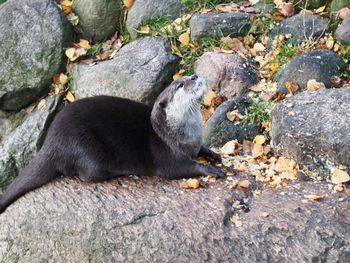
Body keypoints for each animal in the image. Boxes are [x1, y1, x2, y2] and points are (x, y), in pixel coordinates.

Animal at [0, 75, 224, 214]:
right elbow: (182, 168)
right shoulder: (168, 156)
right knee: (87, 175)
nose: (194, 76)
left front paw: (214, 154)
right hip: (85, 149)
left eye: (186, 78)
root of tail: (51, 141)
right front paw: (211, 169)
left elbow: (202, 148)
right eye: (180, 85)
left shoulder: (194, 143)